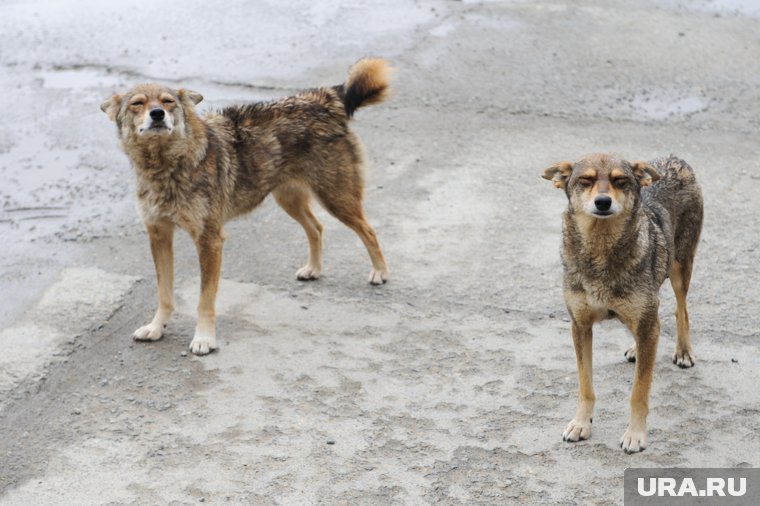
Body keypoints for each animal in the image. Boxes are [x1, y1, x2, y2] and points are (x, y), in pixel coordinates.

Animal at [101, 58, 392, 356]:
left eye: (168, 101)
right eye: (137, 103)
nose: (157, 113)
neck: (166, 166)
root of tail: (323, 99)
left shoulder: (209, 240)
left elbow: (204, 300)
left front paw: (204, 338)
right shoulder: (158, 235)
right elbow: (164, 293)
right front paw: (156, 328)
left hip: (336, 199)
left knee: (369, 231)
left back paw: (380, 272)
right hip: (289, 200)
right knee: (317, 227)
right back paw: (313, 269)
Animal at [544, 154, 704, 454]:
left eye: (620, 181)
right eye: (585, 180)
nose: (603, 202)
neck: (601, 249)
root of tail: (674, 159)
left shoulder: (647, 321)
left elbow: (639, 392)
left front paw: (636, 435)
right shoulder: (580, 326)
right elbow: (585, 385)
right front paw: (581, 423)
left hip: (680, 268)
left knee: (681, 310)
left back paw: (683, 351)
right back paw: (635, 348)